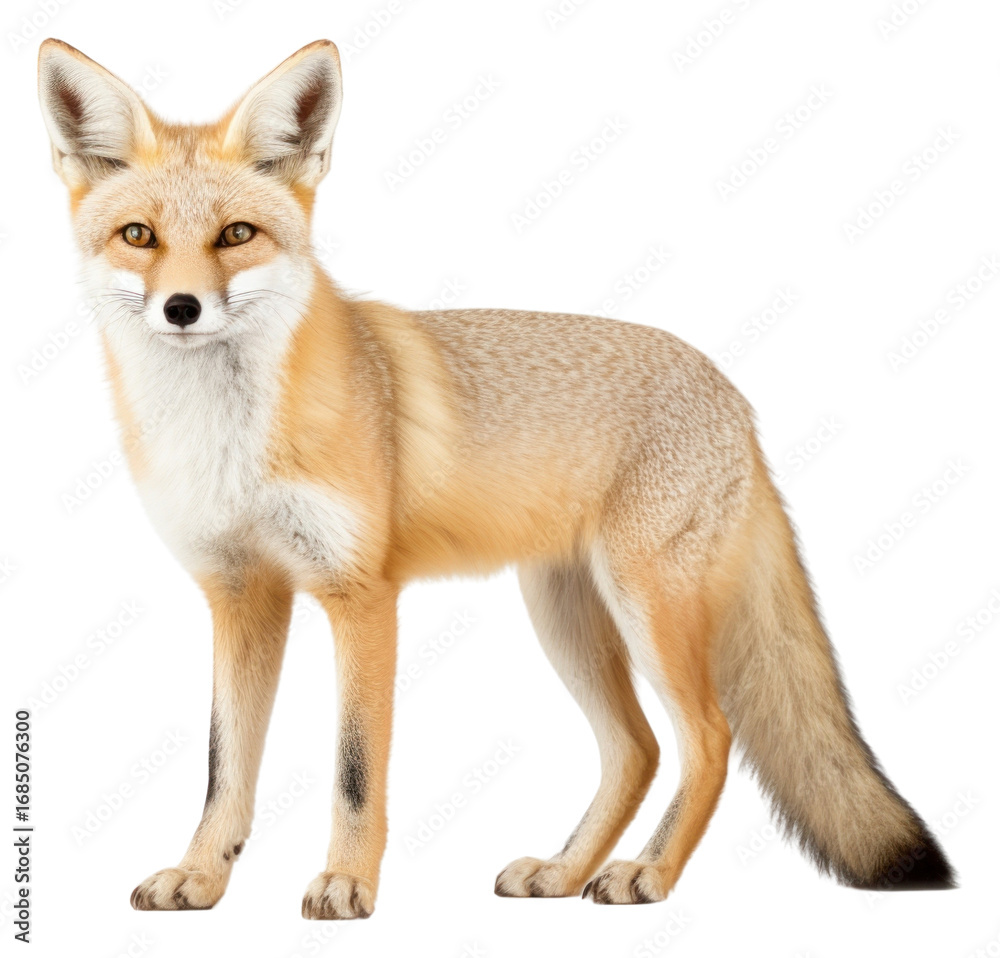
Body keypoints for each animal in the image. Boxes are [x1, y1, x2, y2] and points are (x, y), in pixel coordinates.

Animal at [37, 37, 955, 918]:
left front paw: (347, 885)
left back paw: (646, 873)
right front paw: (201, 877)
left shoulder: (361, 595)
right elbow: (225, 768)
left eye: (235, 235)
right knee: (637, 750)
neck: (227, 442)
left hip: (645, 606)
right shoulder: (240, 594)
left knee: (708, 738)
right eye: (138, 237)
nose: (181, 309)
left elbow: (355, 770)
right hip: (564, 617)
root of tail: (738, 400)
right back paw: (564, 871)